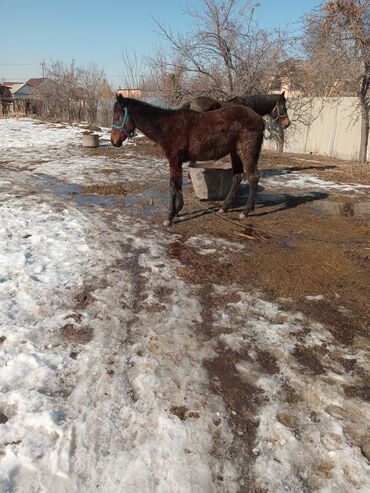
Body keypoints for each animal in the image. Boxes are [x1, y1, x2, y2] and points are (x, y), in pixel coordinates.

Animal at [111, 95, 264, 226]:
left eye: (118, 117)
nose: (113, 141)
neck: (165, 126)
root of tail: (259, 118)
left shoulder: (173, 160)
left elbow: (173, 186)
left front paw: (170, 216)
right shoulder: (177, 162)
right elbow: (178, 184)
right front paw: (178, 209)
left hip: (246, 151)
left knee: (253, 177)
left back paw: (245, 211)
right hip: (235, 152)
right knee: (237, 176)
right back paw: (224, 207)